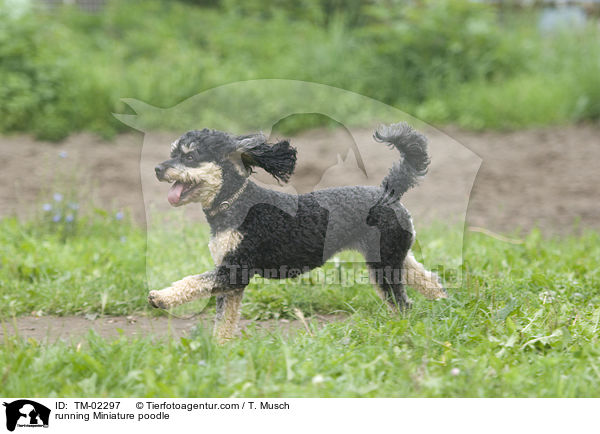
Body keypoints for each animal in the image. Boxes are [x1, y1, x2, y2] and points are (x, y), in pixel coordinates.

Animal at [151, 123, 446, 342]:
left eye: (190, 156)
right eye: (173, 152)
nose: (157, 169)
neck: (236, 202)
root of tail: (388, 193)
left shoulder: (235, 271)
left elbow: (192, 283)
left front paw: (161, 297)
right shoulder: (231, 280)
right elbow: (224, 321)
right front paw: (219, 350)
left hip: (384, 264)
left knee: (403, 304)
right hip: (396, 255)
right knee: (429, 281)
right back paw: (444, 306)